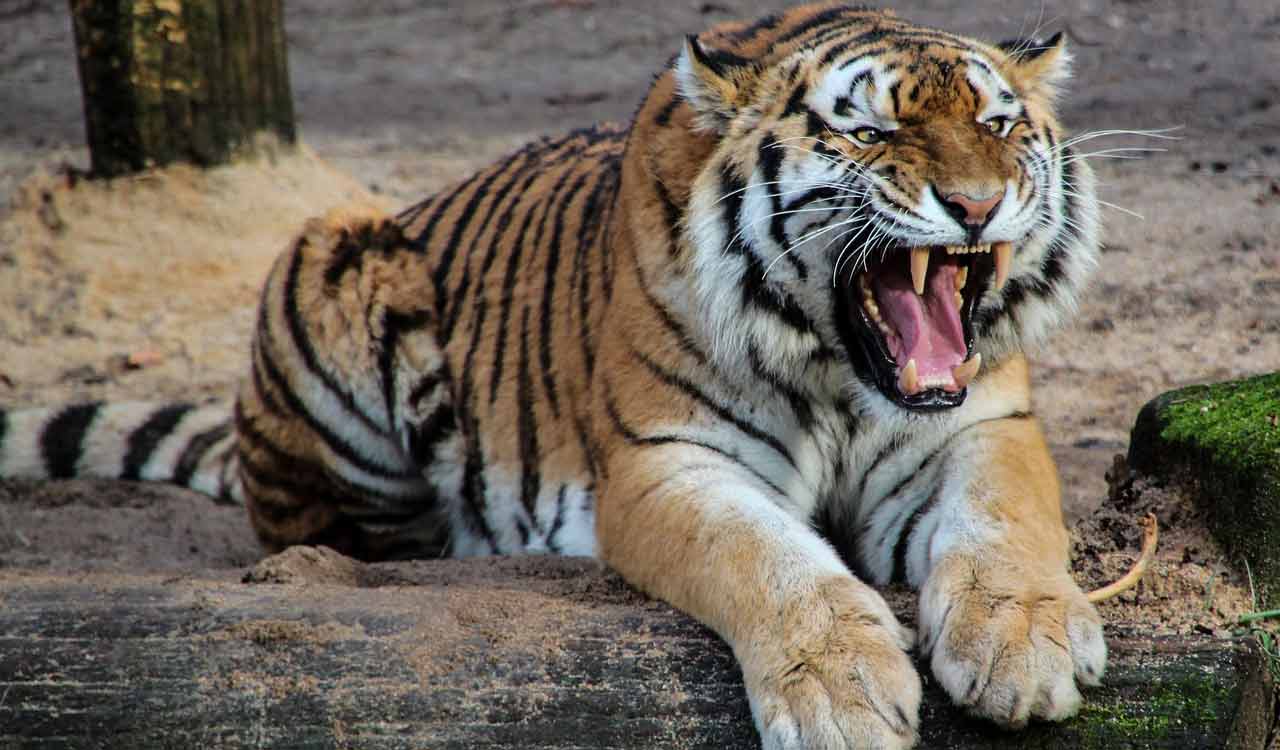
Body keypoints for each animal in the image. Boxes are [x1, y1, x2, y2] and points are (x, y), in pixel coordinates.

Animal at [0, 4, 1107, 747]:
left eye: (999, 127)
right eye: (869, 132)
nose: (976, 205)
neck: (841, 374)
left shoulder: (980, 427)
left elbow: (1007, 522)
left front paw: (1023, 646)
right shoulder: (666, 462)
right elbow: (767, 560)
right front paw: (843, 691)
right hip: (334, 254)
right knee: (336, 534)